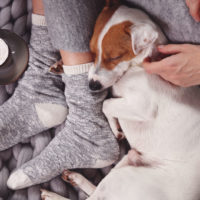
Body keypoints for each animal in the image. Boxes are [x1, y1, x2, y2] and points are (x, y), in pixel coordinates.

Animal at [40, 0, 200, 200]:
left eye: (115, 57)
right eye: (92, 52)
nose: (92, 86)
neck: (138, 65)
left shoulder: (143, 106)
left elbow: (106, 104)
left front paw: (115, 127)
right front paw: (60, 65)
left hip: (123, 178)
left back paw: (53, 194)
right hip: (125, 164)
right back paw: (74, 178)